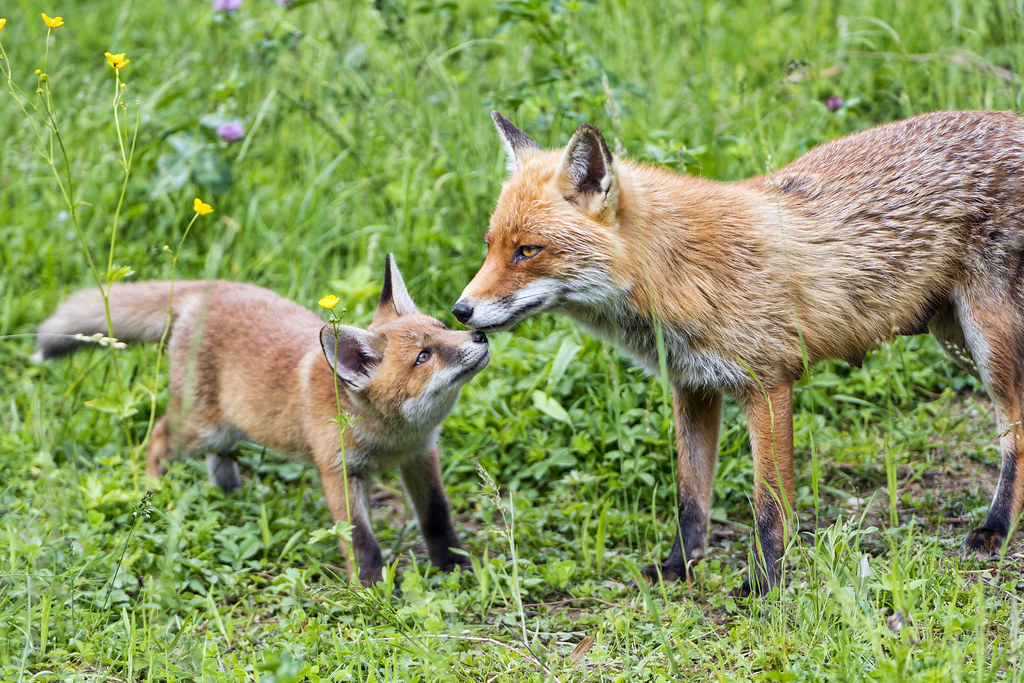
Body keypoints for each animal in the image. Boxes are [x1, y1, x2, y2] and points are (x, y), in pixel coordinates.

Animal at [38, 253, 487, 585]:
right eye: (423, 356)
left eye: (442, 327)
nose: (479, 335)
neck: (392, 439)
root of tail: (216, 288)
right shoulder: (339, 471)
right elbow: (361, 541)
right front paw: (371, 588)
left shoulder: (422, 455)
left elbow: (437, 518)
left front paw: (454, 566)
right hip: (199, 429)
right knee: (159, 438)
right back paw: (157, 491)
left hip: (223, 432)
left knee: (219, 460)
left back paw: (229, 495)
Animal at [454, 111, 1024, 593]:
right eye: (490, 246)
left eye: (527, 251)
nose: (460, 311)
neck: (678, 274)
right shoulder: (692, 387)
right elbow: (690, 497)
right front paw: (678, 568)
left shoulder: (768, 384)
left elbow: (770, 505)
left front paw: (765, 583)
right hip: (955, 340)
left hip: (987, 342)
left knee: (1014, 433)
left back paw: (995, 529)